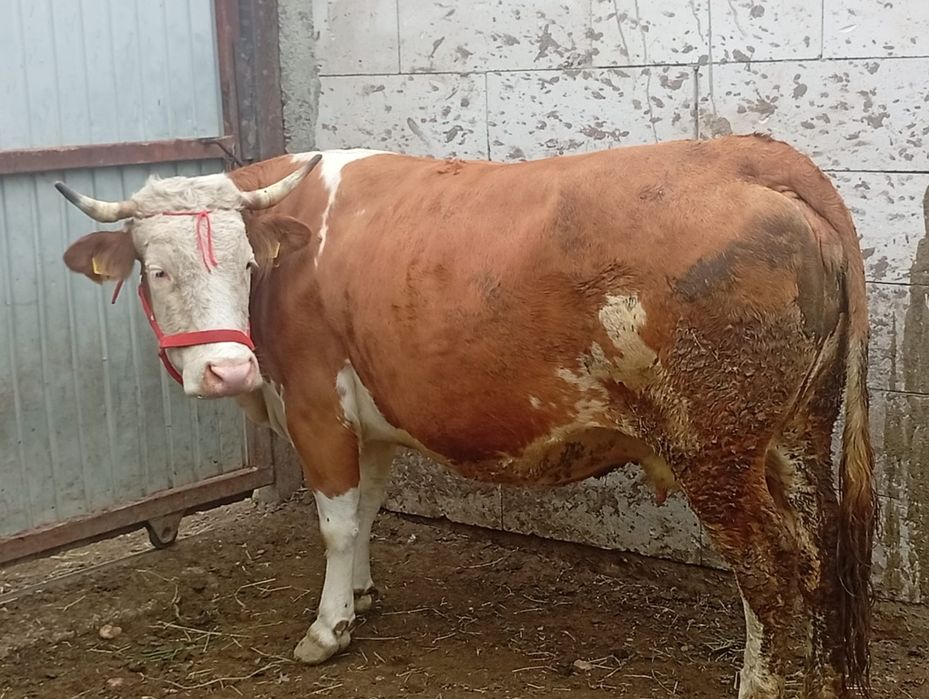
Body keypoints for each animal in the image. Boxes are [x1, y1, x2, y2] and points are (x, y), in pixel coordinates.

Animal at [57, 134, 875, 699]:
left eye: (248, 265)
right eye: (157, 268)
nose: (227, 369)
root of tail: (747, 155)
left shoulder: (317, 406)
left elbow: (336, 521)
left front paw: (328, 629)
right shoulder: (372, 418)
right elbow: (368, 507)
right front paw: (361, 595)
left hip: (714, 448)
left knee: (770, 568)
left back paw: (760, 682)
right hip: (798, 428)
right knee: (820, 547)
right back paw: (829, 679)